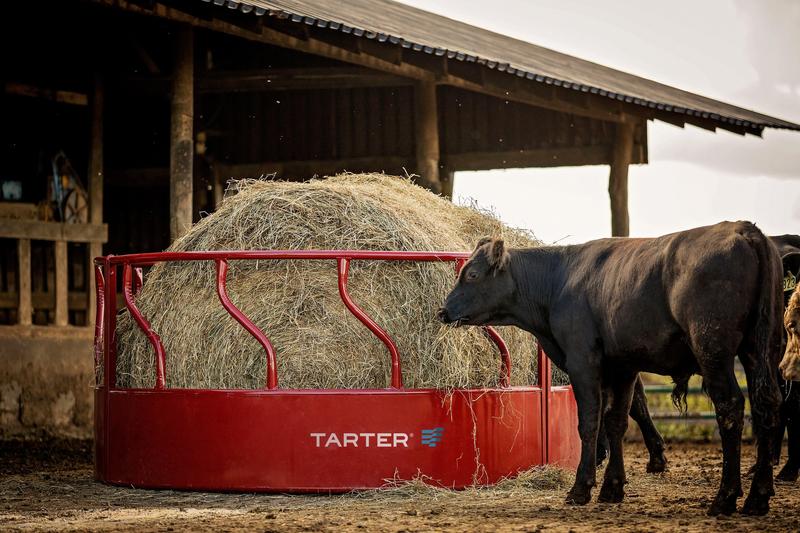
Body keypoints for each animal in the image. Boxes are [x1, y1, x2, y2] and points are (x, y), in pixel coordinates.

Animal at [437, 221, 784, 515]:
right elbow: (616, 421)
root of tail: (743, 229)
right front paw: (612, 488)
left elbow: (590, 423)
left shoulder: (582, 361)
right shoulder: (622, 367)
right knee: (766, 408)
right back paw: (757, 497)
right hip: (761, 352)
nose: (443, 311)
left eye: (472, 275)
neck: (558, 281)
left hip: (713, 350)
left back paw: (725, 497)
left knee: (731, 408)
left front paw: (581, 488)